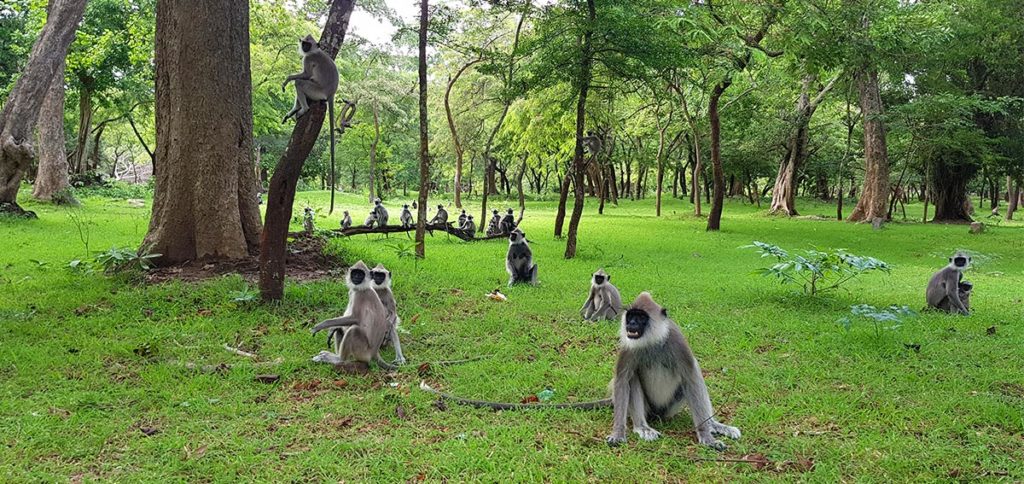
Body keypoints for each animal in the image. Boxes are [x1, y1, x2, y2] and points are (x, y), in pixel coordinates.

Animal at [284, 34, 339, 212]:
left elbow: (306, 74)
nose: (305, 47)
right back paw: (294, 111)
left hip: (316, 91)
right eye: (304, 43)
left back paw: (303, 110)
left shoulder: (308, 59)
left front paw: (288, 79)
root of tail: (330, 94)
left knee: (301, 83)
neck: (314, 51)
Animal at [602, 290, 741, 448]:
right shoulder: (628, 345)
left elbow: (691, 377)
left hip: (671, 408)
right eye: (630, 316)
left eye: (641, 317)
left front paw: (706, 436)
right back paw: (642, 427)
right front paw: (618, 433)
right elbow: (622, 379)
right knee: (632, 377)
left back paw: (713, 424)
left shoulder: (676, 338)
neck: (652, 342)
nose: (631, 323)